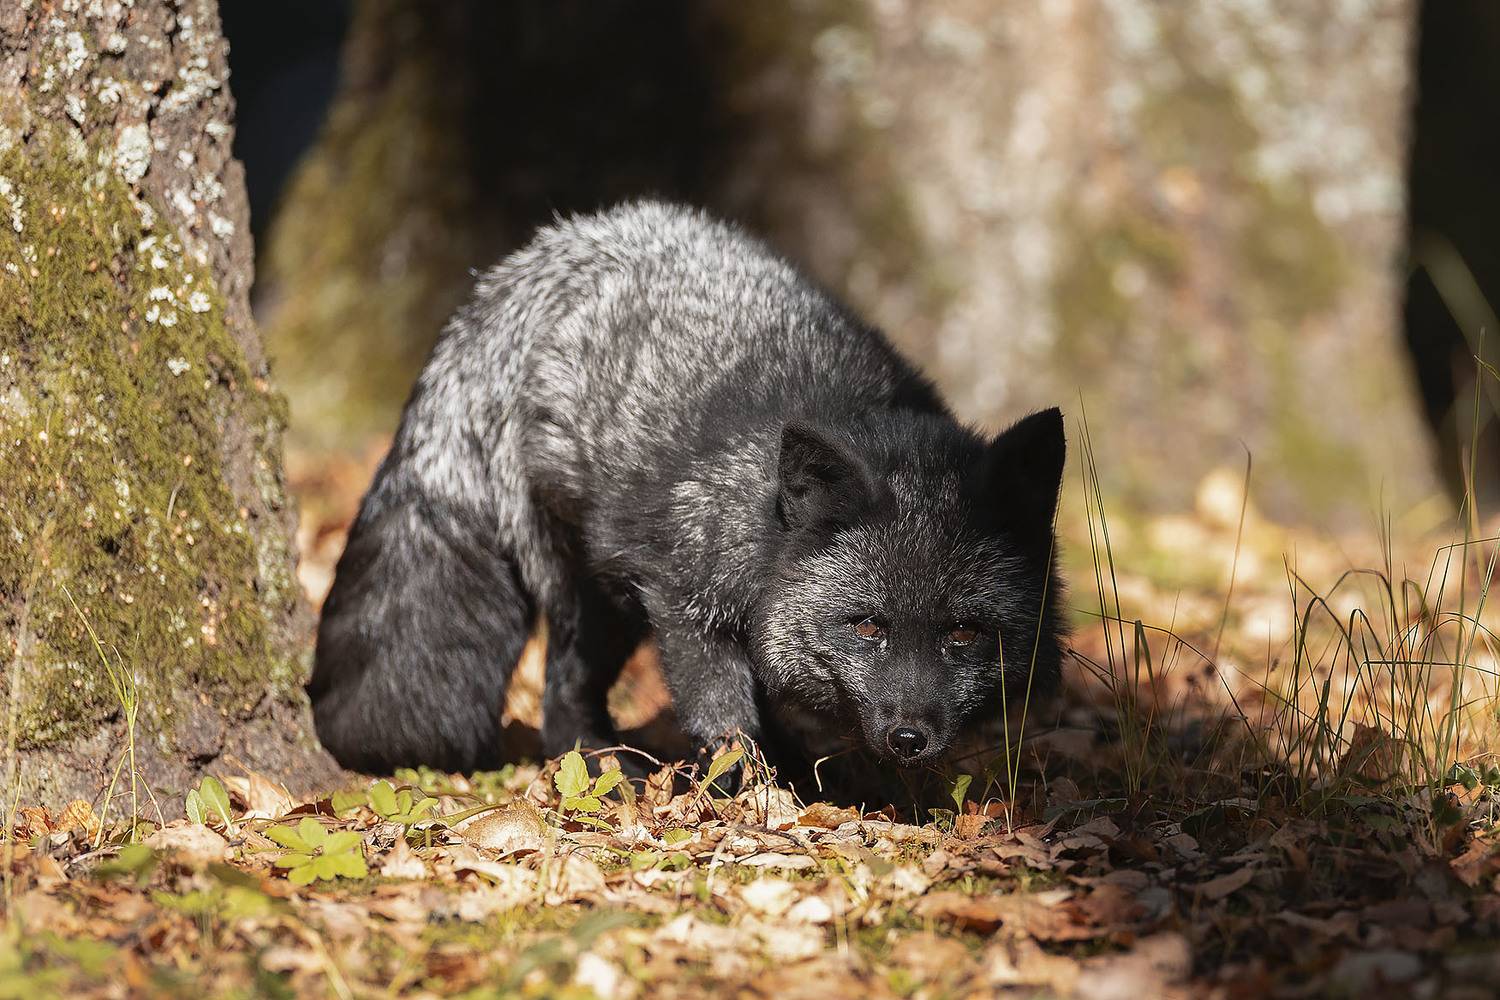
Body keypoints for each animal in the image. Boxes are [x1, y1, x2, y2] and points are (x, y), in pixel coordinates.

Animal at [308, 201, 1065, 790]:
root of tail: (546, 250)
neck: (764, 518)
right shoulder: (682, 598)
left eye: (964, 633)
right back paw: (603, 769)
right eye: (867, 627)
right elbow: (726, 721)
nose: (910, 738)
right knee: (561, 695)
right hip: (601, 594)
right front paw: (754, 801)